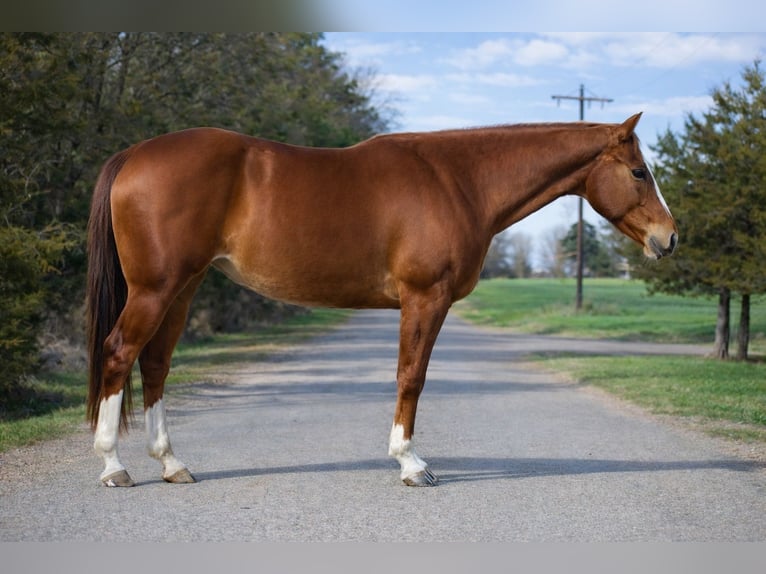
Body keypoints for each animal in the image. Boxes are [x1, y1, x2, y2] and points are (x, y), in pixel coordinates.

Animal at [86, 112, 677, 487]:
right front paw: (411, 463)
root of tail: (135, 154)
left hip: (182, 288)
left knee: (155, 364)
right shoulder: (425, 298)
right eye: (638, 171)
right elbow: (411, 376)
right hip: (157, 289)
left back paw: (171, 465)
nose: (669, 238)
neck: (458, 181)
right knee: (119, 353)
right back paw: (114, 467)